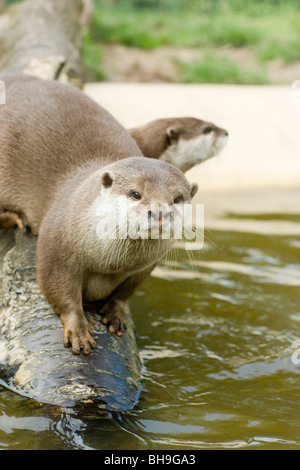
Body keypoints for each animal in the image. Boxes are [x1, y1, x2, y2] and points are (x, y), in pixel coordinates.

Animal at [0, 75, 198, 356]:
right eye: (135, 194)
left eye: (178, 198)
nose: (160, 211)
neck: (111, 263)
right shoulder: (56, 248)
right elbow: (61, 292)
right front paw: (78, 332)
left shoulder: (144, 268)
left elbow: (125, 293)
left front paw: (115, 314)